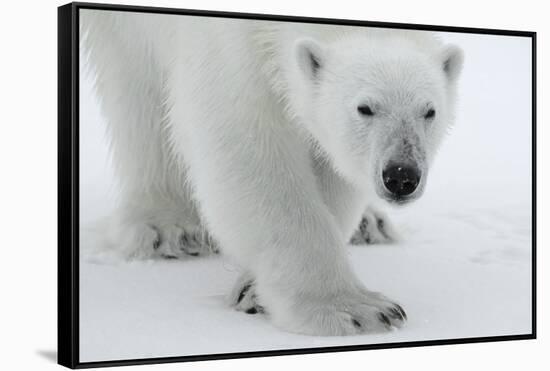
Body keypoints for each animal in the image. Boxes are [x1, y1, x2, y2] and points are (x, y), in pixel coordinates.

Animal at [81, 10, 462, 338]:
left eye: (429, 111)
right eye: (364, 108)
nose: (401, 175)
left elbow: (328, 161)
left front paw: (253, 290)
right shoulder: (223, 43)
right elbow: (244, 143)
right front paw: (352, 310)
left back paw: (369, 224)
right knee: (134, 78)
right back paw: (170, 227)